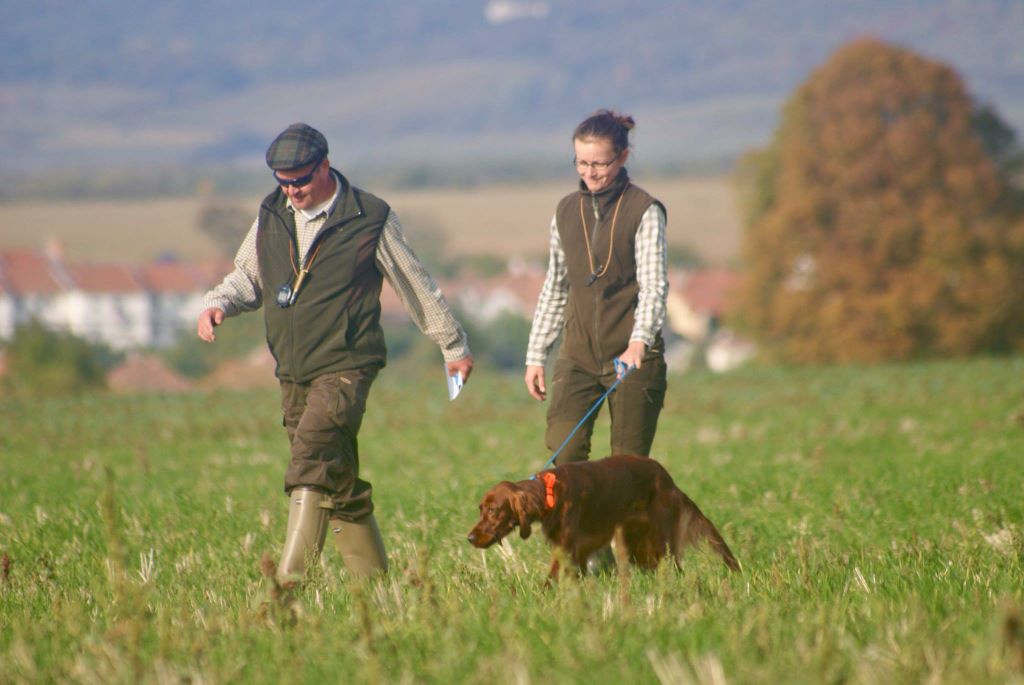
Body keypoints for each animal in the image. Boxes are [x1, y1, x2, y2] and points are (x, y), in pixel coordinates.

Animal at [468, 454, 741, 577]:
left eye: (493, 510)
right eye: (481, 509)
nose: (469, 538)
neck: (549, 493)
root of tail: (669, 480)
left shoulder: (567, 546)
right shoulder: (578, 549)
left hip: (657, 539)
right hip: (638, 541)